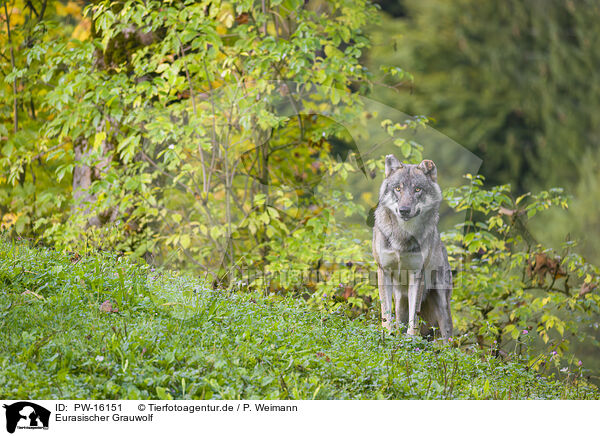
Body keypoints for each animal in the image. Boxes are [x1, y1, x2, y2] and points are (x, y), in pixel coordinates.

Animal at [372, 155, 452, 338]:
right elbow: (386, 312)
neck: (402, 235)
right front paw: (387, 334)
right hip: (400, 299)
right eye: (398, 189)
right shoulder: (384, 271)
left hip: (442, 306)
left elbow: (414, 315)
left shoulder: (416, 274)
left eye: (417, 189)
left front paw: (411, 338)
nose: (404, 210)